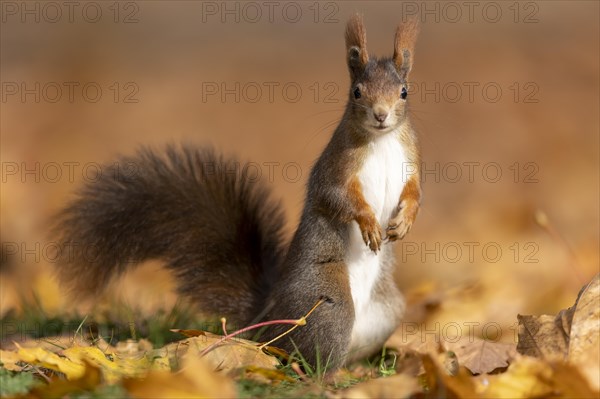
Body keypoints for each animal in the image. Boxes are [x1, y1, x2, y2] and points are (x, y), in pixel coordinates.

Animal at [55, 15, 422, 372]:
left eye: (404, 92)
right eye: (357, 92)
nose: (380, 115)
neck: (381, 140)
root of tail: (269, 319)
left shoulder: (411, 160)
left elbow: (416, 193)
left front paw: (405, 222)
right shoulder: (335, 168)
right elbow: (337, 199)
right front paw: (369, 224)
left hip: (386, 311)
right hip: (328, 307)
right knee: (304, 358)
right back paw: (322, 377)